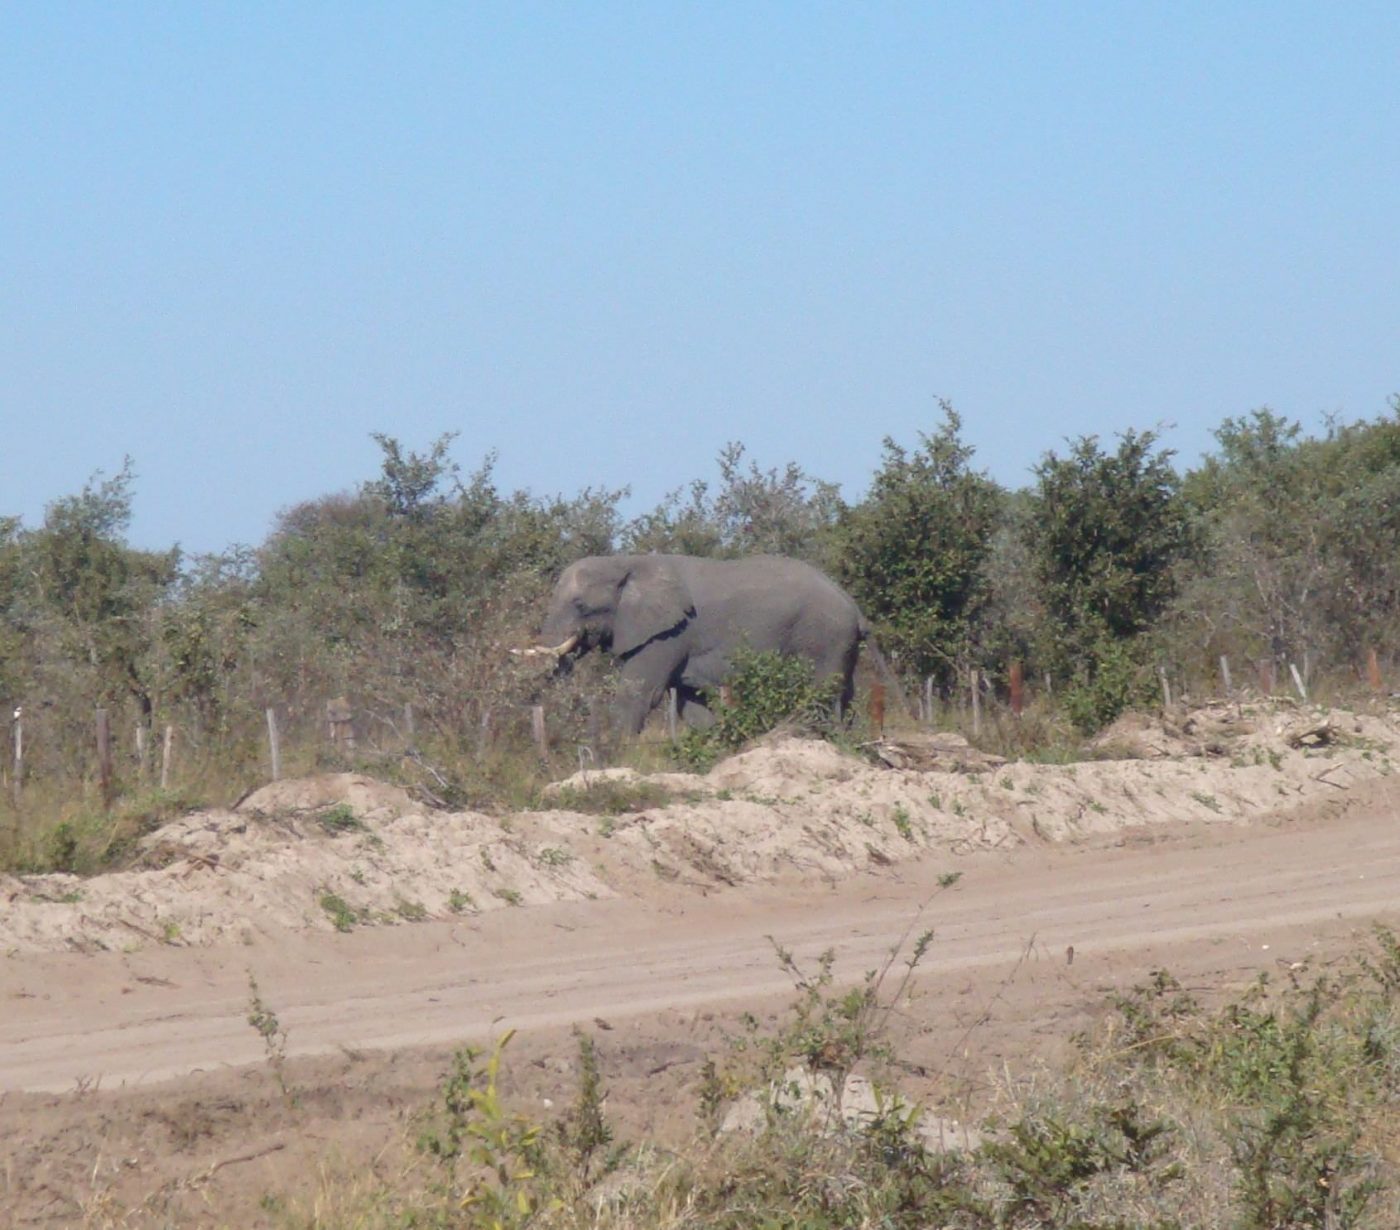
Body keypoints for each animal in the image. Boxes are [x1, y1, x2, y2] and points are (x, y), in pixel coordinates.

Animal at [518, 554, 862, 733]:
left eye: (580, 605)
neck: (626, 561)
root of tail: (852, 605)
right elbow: (689, 703)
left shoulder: (669, 633)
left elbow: (640, 692)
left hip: (825, 638)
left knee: (819, 694)